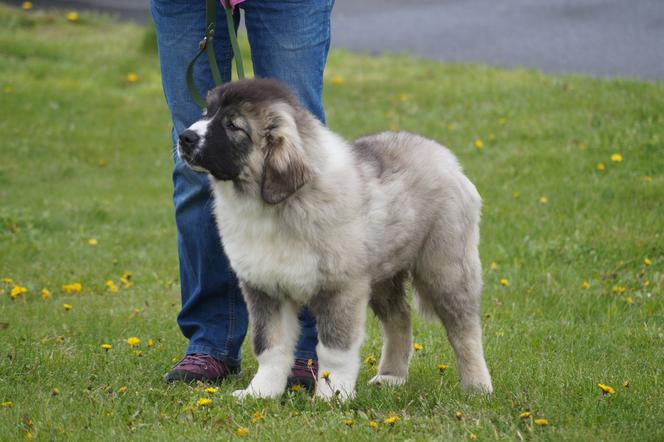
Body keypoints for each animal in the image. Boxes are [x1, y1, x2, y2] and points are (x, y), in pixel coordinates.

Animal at [178, 79, 492, 400]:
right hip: (382, 275)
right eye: (206, 113)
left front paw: (332, 395)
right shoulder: (264, 288)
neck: (277, 206)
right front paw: (261, 392)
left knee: (464, 328)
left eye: (233, 125)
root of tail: (444, 156)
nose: (185, 137)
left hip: (446, 268)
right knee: (399, 318)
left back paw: (477, 385)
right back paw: (391, 376)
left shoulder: (341, 289)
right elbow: (269, 345)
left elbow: (335, 349)